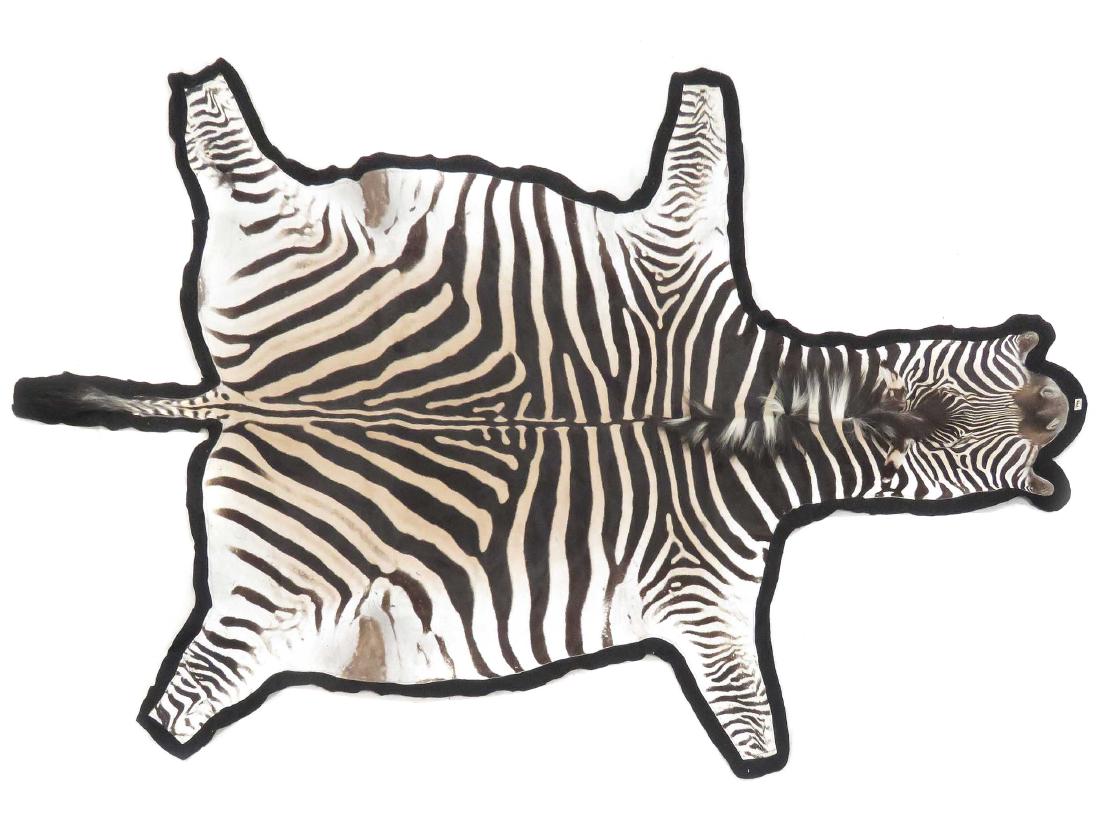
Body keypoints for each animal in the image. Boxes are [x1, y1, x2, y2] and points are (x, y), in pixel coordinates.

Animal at [12, 60, 1085, 777]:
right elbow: (703, 156)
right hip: (297, 251)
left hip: (283, 581)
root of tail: (240, 397)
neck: (786, 410)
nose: (1064, 402)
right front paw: (761, 754)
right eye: (1029, 379)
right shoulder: (708, 582)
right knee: (248, 171)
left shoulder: (706, 594)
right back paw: (212, 95)